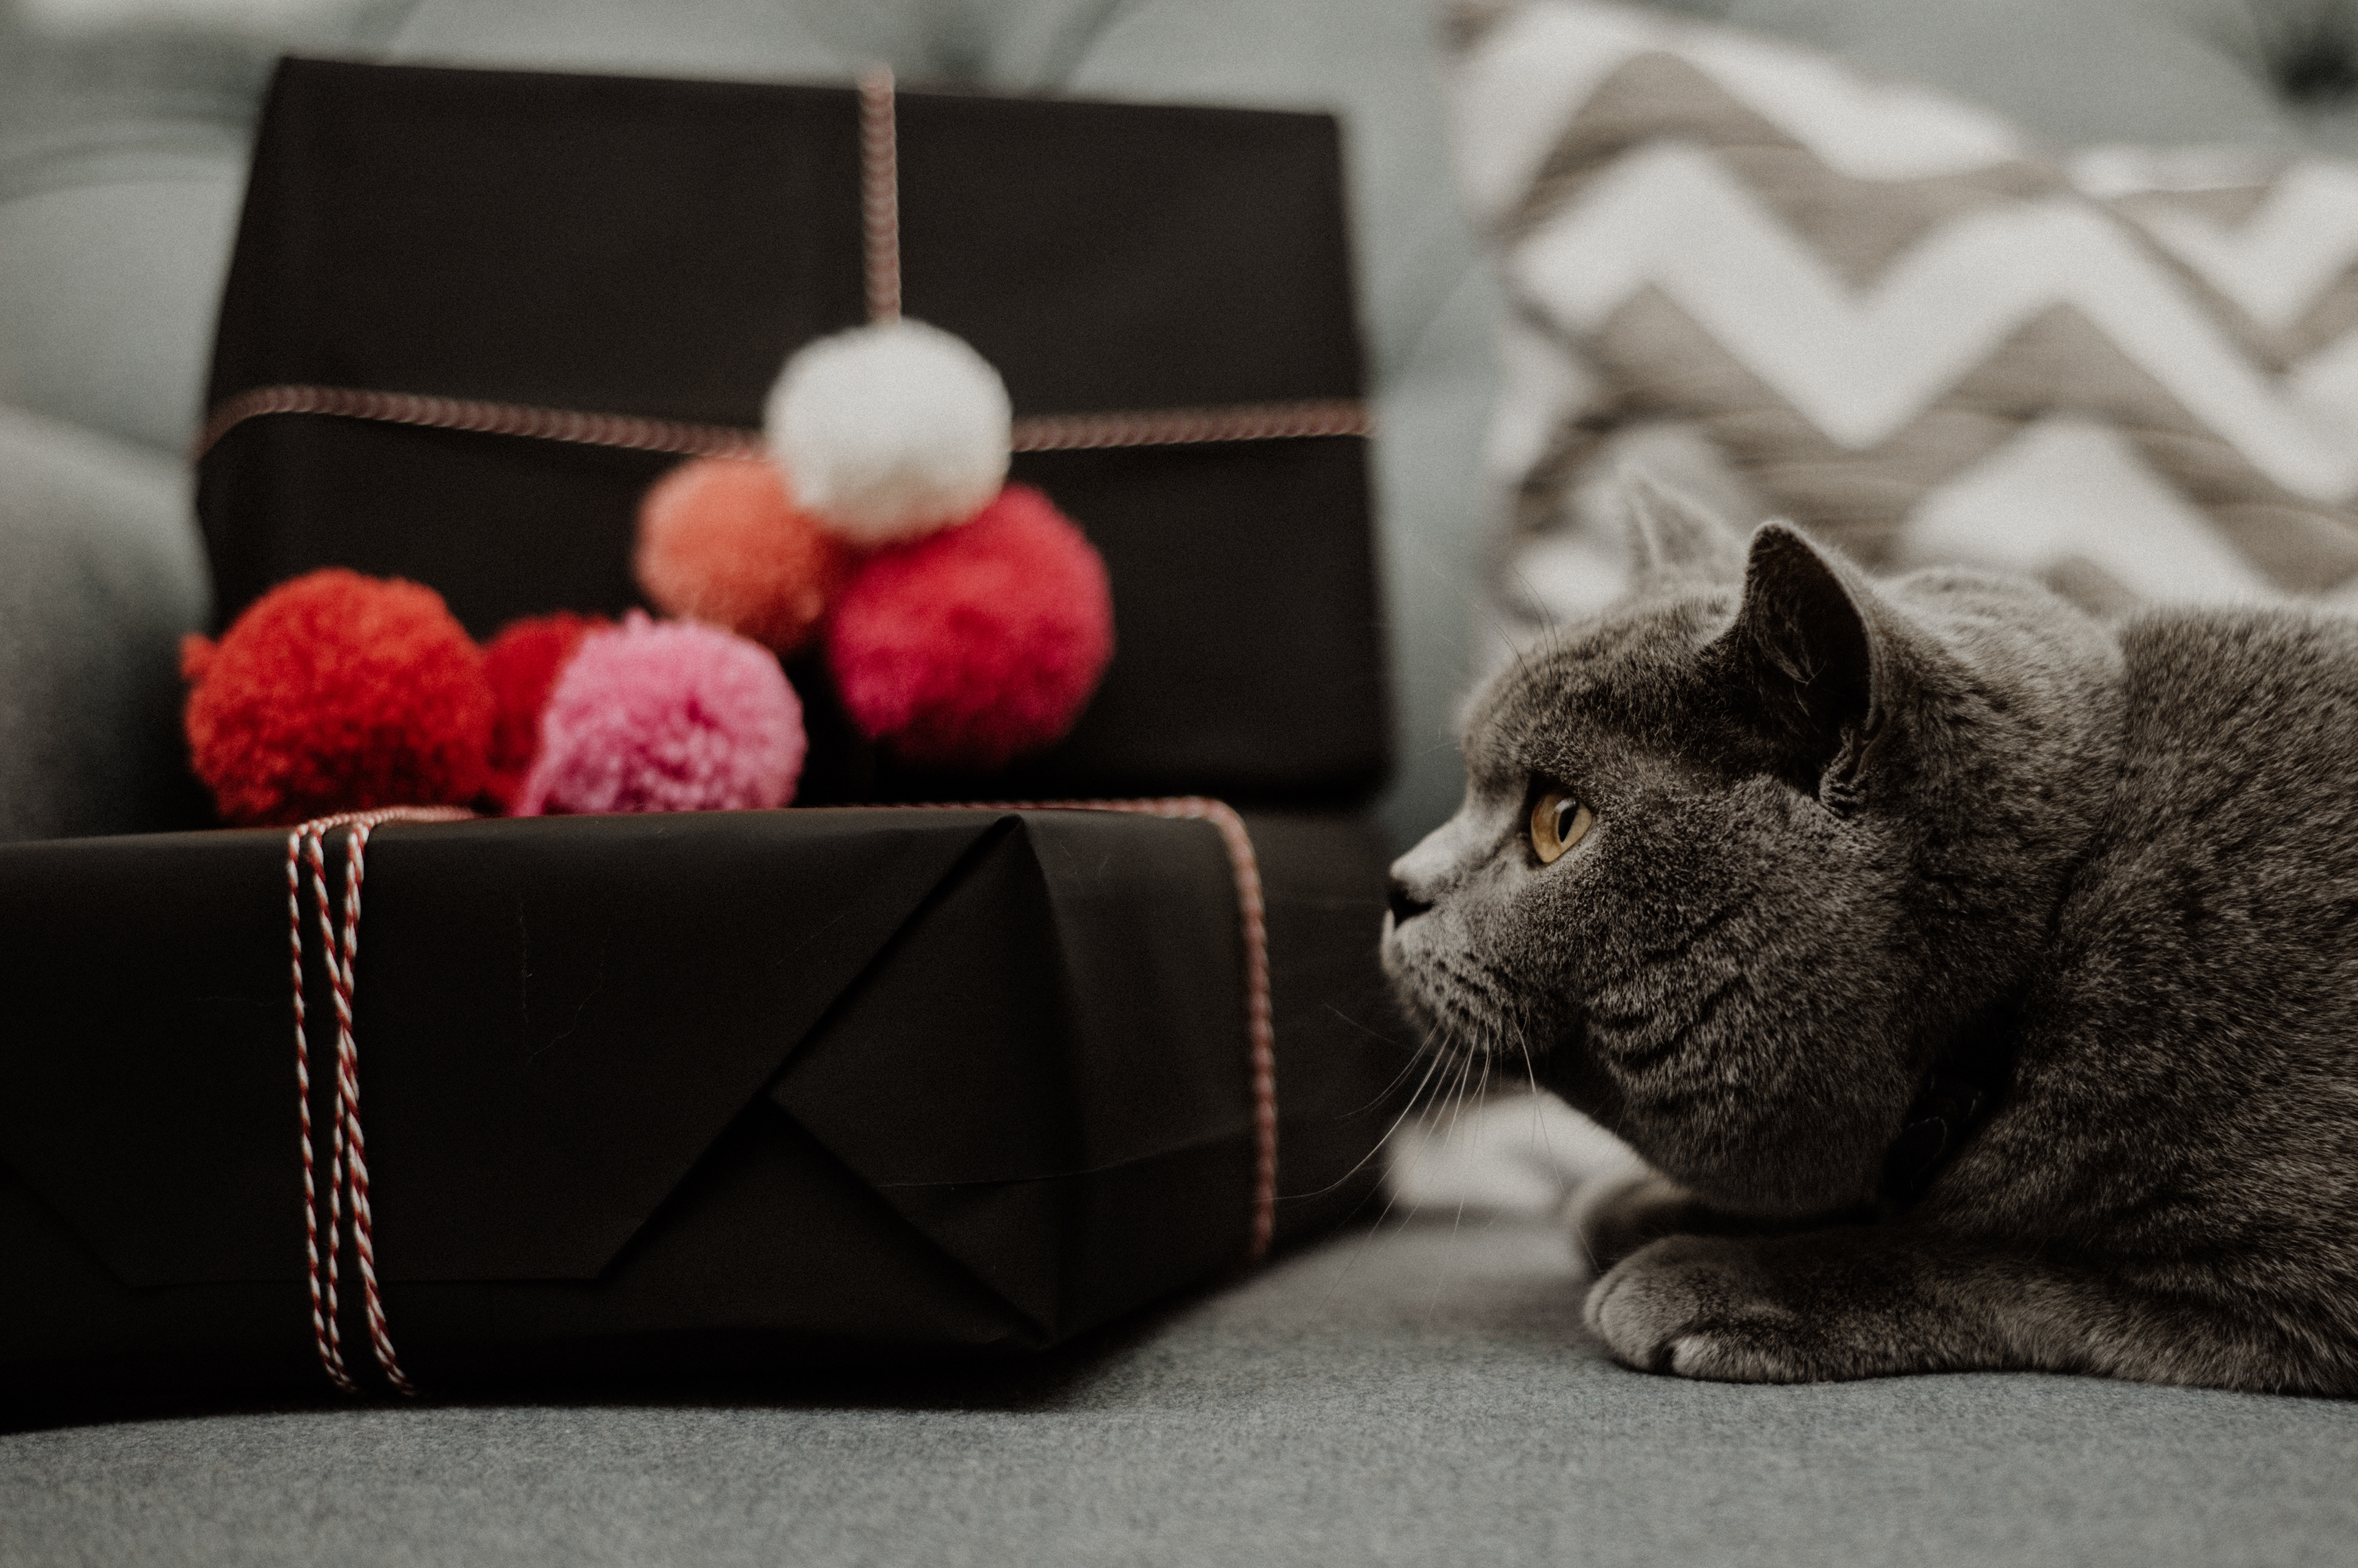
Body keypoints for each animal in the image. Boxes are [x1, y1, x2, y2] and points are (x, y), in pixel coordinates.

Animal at [1381, 480, 2358, 1394]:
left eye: (1560, 822)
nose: (1396, 885)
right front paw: (1644, 1204)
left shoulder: (2291, 1282)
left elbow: (1992, 1266)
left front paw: (1724, 1271)